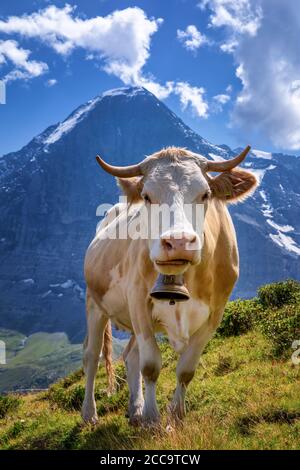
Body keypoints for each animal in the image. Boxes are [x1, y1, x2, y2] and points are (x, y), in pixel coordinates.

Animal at [82, 147, 258, 426]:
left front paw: (174, 417)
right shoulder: (138, 302)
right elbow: (151, 365)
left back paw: (135, 410)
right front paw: (153, 419)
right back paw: (90, 414)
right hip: (94, 302)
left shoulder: (215, 315)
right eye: (147, 196)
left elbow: (185, 370)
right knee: (93, 356)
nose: (179, 242)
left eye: (205, 194)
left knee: (130, 355)